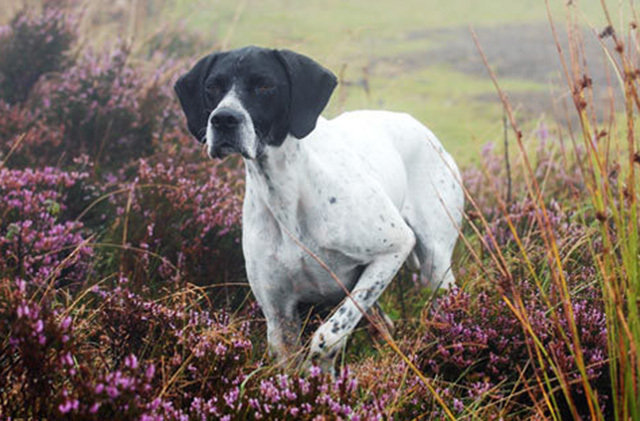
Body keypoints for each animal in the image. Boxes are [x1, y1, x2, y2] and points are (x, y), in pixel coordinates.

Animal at [174, 46, 464, 372]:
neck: (287, 193)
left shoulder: (395, 246)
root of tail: (422, 128)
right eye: (212, 87)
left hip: (435, 266)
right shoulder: (279, 317)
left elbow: (330, 334)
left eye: (265, 85)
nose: (224, 119)